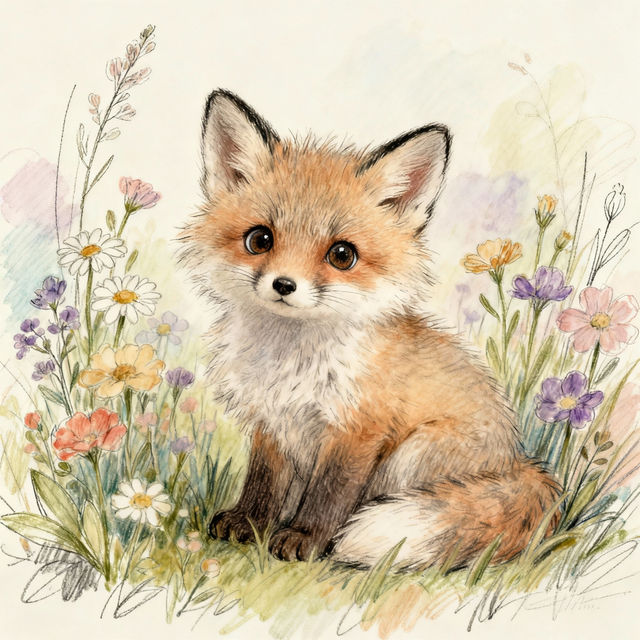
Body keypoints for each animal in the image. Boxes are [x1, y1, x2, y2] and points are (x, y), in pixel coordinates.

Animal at [178, 89, 560, 570]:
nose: (284, 285)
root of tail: (521, 464)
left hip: (413, 454)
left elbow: (330, 492)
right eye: (259, 239)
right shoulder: (273, 422)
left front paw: (305, 537)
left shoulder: (359, 428)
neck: (292, 363)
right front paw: (250, 522)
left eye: (342, 255)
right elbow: (264, 482)